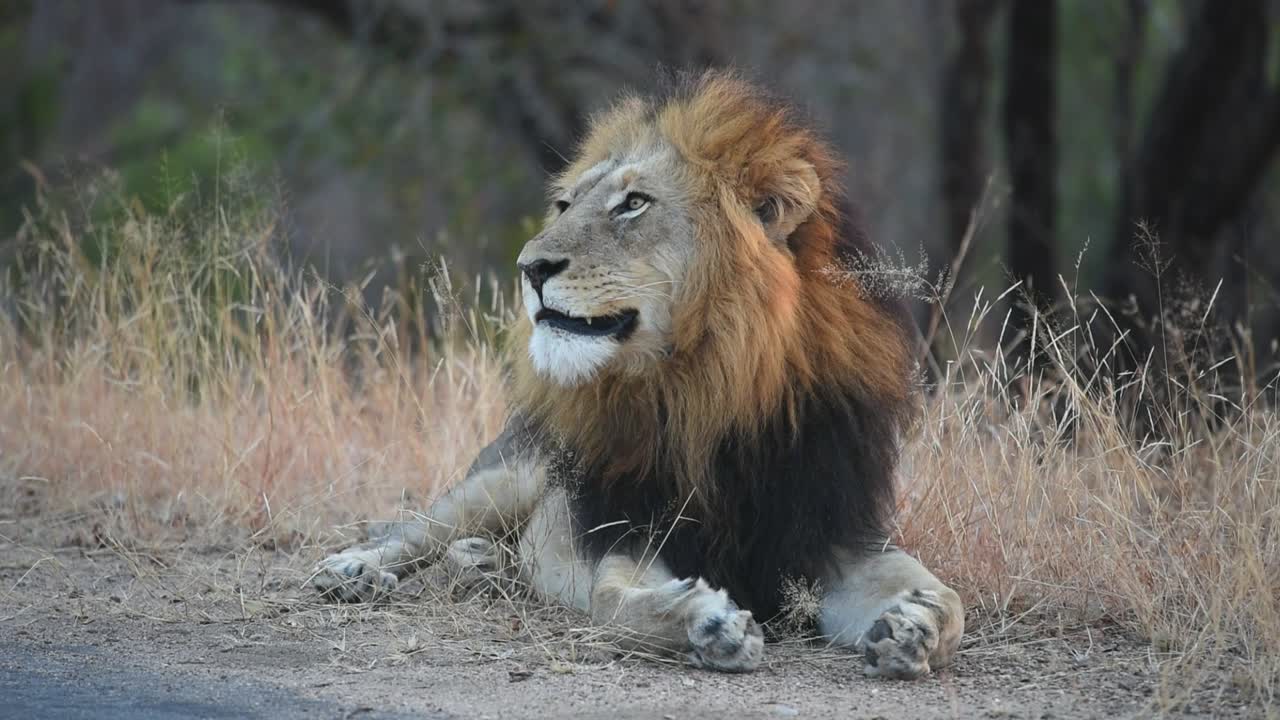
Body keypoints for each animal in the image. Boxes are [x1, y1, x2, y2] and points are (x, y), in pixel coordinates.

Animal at [312, 71, 964, 679]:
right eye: (565, 205)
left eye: (633, 203)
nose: (529, 267)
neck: (713, 392)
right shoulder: (629, 531)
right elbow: (618, 603)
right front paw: (709, 623)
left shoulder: (836, 534)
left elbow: (949, 598)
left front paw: (915, 626)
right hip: (501, 479)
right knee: (412, 528)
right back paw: (352, 569)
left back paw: (483, 564)